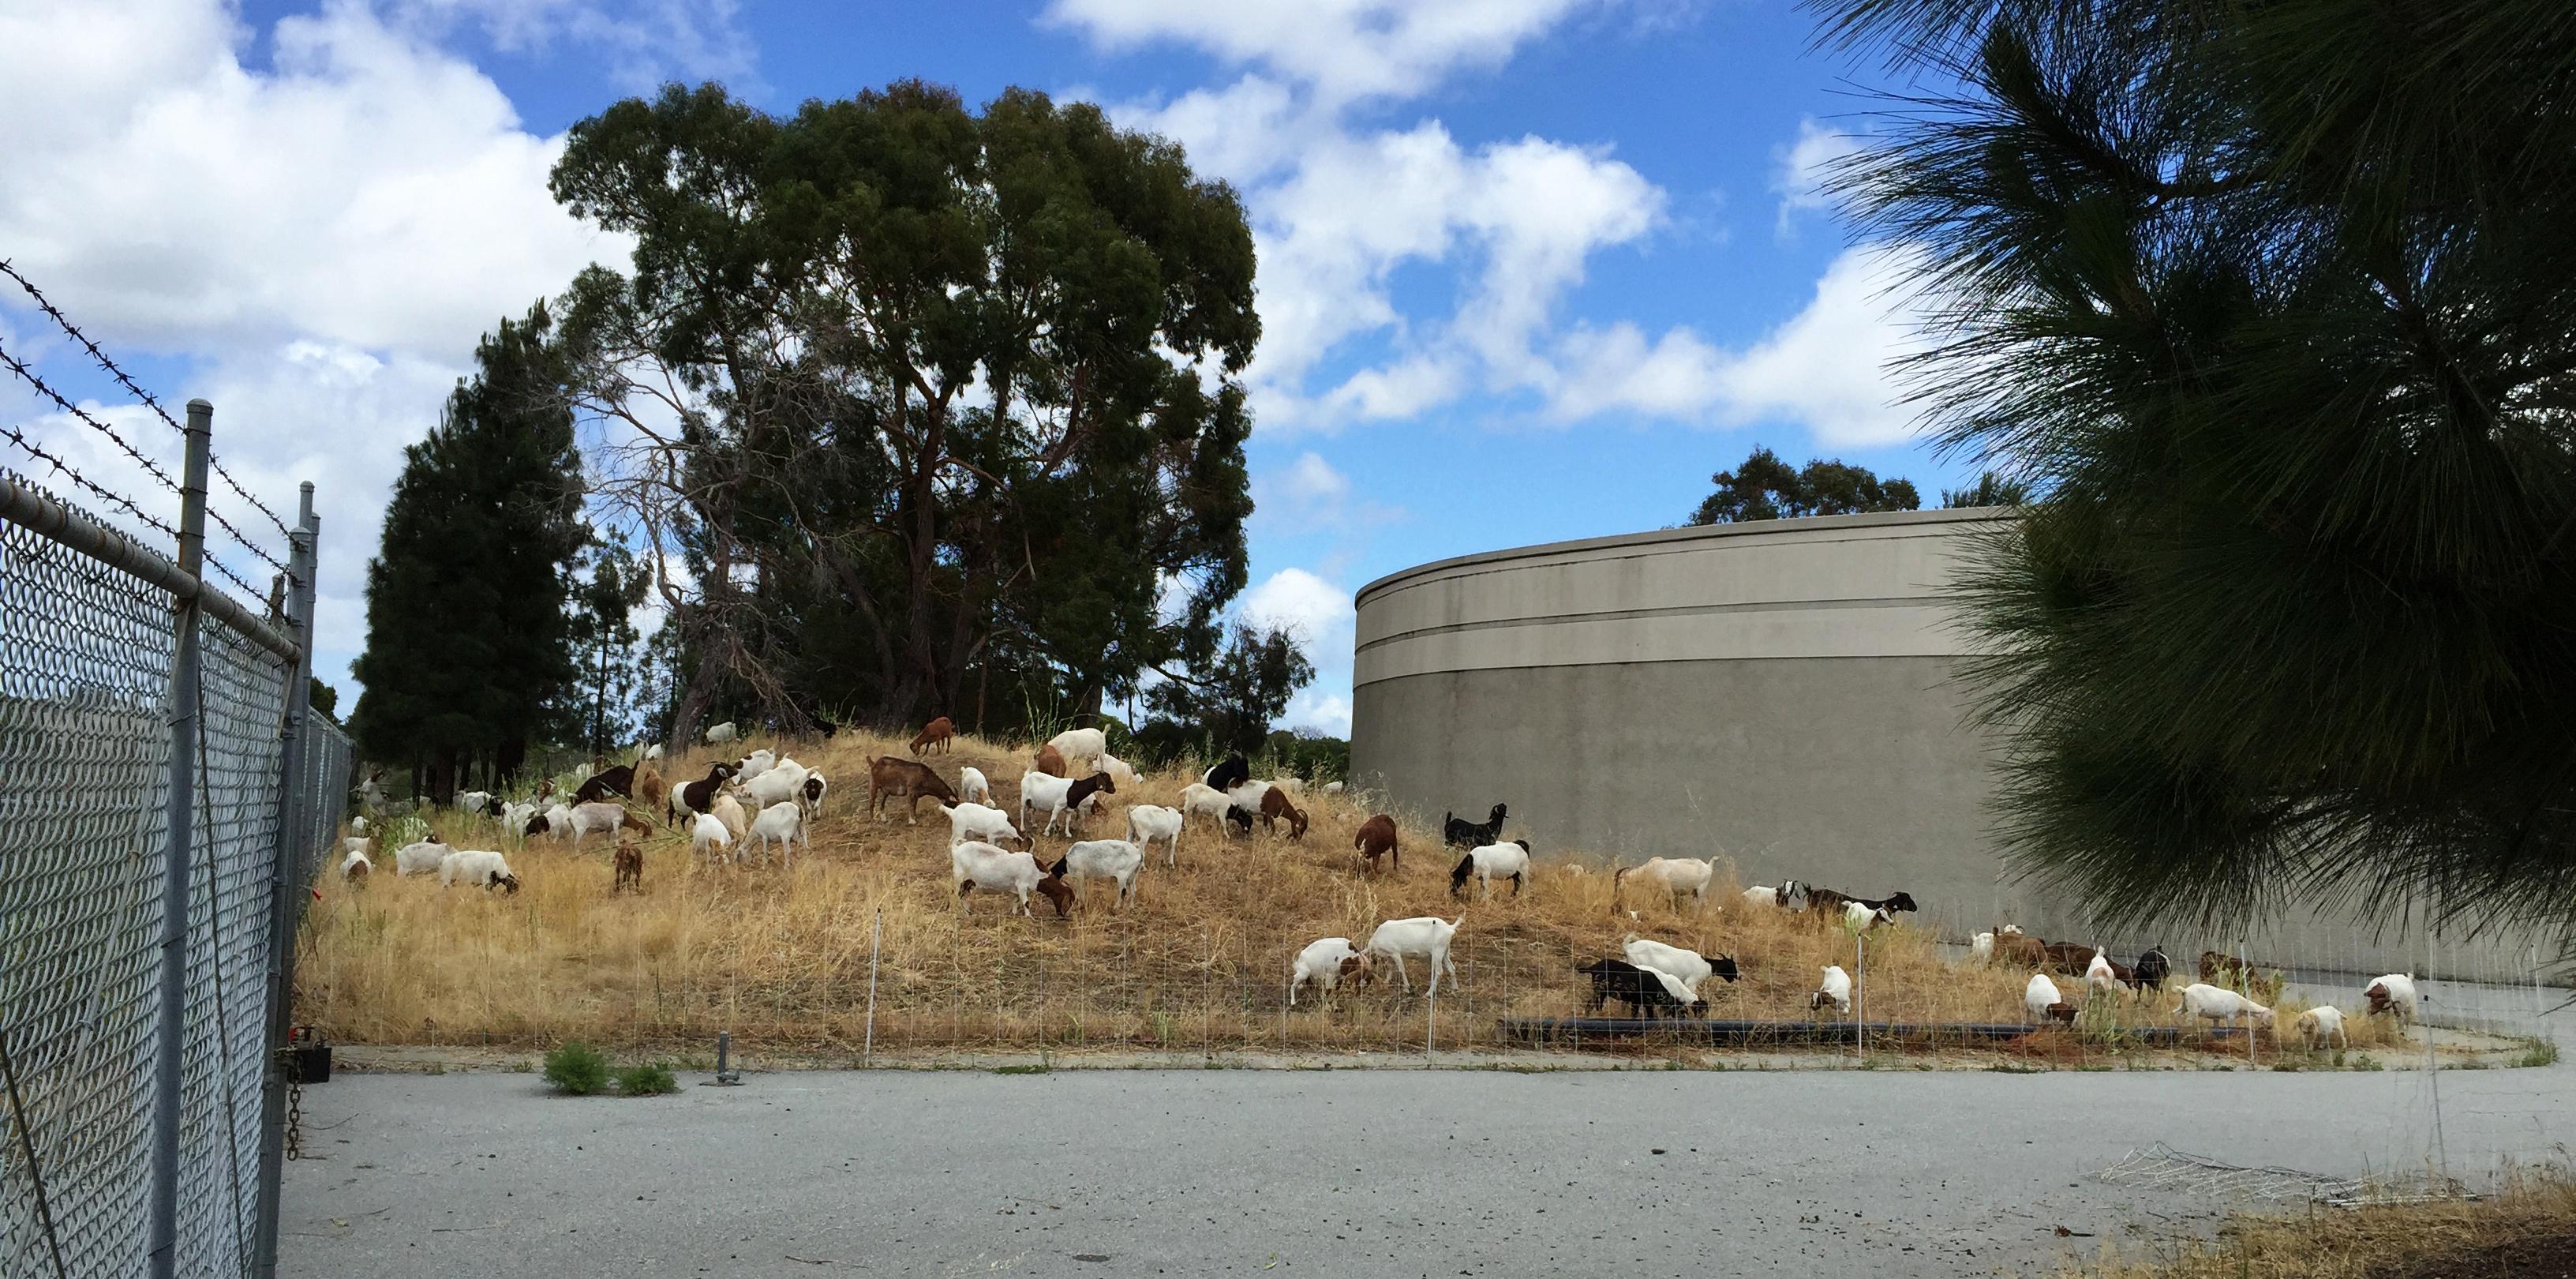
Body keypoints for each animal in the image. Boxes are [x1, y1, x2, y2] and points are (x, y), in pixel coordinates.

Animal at [953, 840, 1071, 917]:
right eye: (1069, 903)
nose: (1064, 915)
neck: (1036, 872)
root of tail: (956, 849)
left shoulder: (1017, 890)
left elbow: (1016, 901)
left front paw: (1013, 914)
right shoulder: (1022, 886)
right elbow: (1026, 902)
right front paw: (1029, 917)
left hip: (967, 883)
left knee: (963, 897)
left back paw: (969, 912)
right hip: (960, 880)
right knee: (958, 897)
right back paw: (964, 913)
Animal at [1360, 913, 1462, 995]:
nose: (1361, 985)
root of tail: (1450, 928)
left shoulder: (1395, 953)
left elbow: (1401, 969)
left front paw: (1407, 988)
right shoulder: (1389, 955)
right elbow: (1390, 968)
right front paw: (1386, 982)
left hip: (1437, 952)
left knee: (1439, 971)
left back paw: (1429, 993)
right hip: (1445, 952)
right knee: (1452, 968)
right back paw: (1455, 988)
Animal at [1566, 959, 1710, 1021]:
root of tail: (1593, 967)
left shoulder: (1636, 1001)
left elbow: (1634, 1014)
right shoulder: (1647, 1001)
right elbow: (1650, 1015)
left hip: (1599, 991)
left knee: (1590, 1004)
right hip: (1602, 991)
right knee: (1597, 1004)